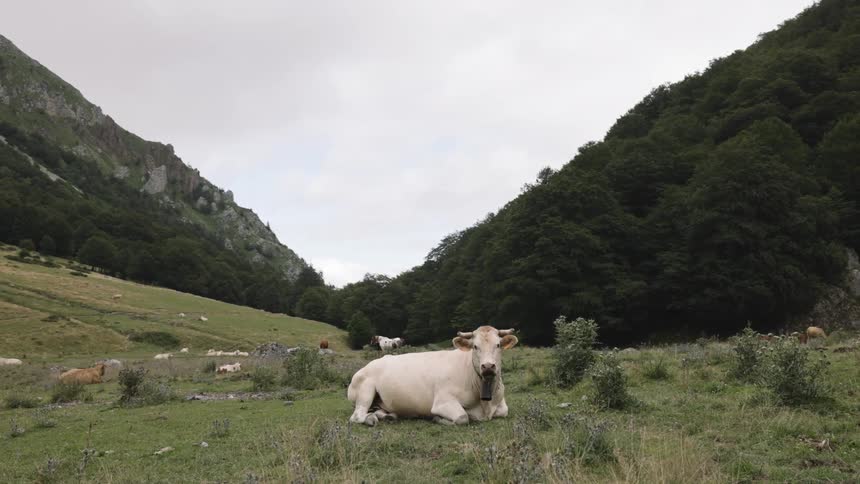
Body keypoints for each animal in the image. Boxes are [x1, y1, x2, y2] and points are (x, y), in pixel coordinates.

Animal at [348, 326, 518, 426]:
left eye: (498, 345)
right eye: (475, 346)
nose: (488, 366)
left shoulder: (500, 404)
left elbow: (504, 411)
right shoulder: (442, 402)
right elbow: (463, 417)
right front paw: (438, 419)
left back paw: (388, 416)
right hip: (365, 390)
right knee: (357, 416)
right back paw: (370, 419)